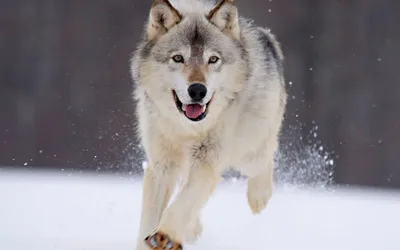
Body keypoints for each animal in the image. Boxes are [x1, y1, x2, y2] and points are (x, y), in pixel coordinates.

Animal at [130, 0, 288, 247]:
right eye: (178, 58)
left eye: (213, 59)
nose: (197, 90)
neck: (189, 129)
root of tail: (267, 38)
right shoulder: (161, 165)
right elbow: (151, 217)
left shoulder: (208, 160)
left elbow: (182, 203)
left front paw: (165, 235)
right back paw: (192, 229)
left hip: (247, 153)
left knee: (266, 157)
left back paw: (259, 197)